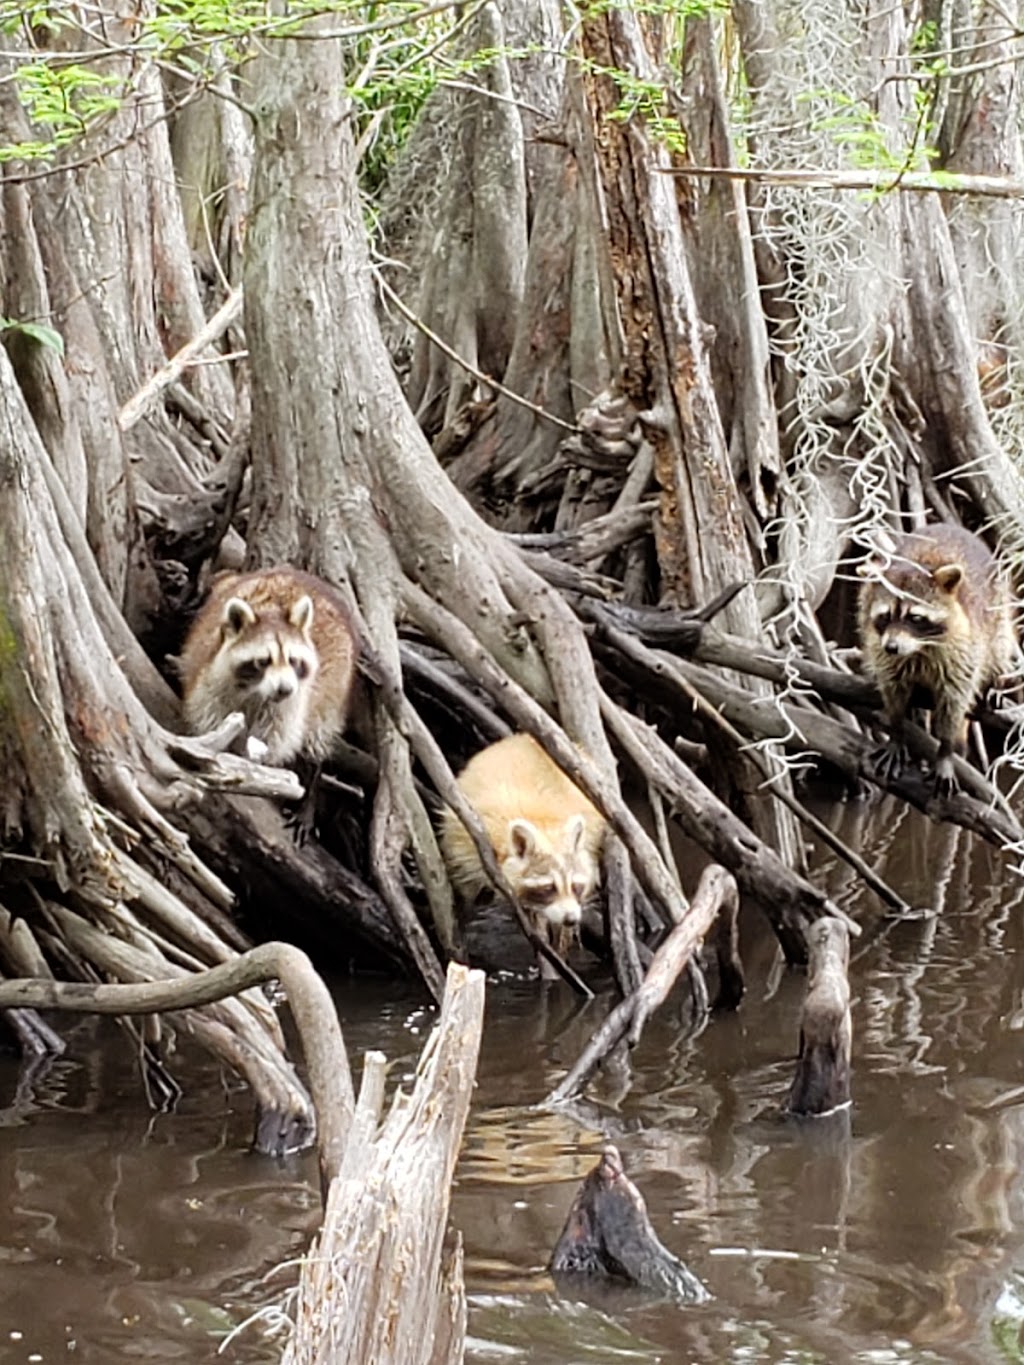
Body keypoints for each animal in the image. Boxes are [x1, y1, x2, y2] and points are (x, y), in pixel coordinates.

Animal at [180, 559, 360, 764]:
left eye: (293, 661)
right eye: (262, 661)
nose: (285, 689)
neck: (254, 692)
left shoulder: (292, 702)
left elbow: (275, 735)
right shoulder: (212, 680)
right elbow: (208, 712)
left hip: (338, 686)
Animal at [442, 731, 608, 966]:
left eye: (575, 886)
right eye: (549, 887)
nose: (571, 918)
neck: (542, 822)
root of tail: (523, 737)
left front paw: (560, 944)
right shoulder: (466, 840)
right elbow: (466, 892)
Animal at [857, 521, 1021, 797]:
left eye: (915, 618)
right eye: (886, 616)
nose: (892, 647)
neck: (918, 649)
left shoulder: (963, 651)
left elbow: (953, 704)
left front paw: (945, 751)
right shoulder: (883, 653)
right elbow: (893, 693)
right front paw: (897, 731)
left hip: (998, 609)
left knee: (1000, 643)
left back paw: (995, 680)